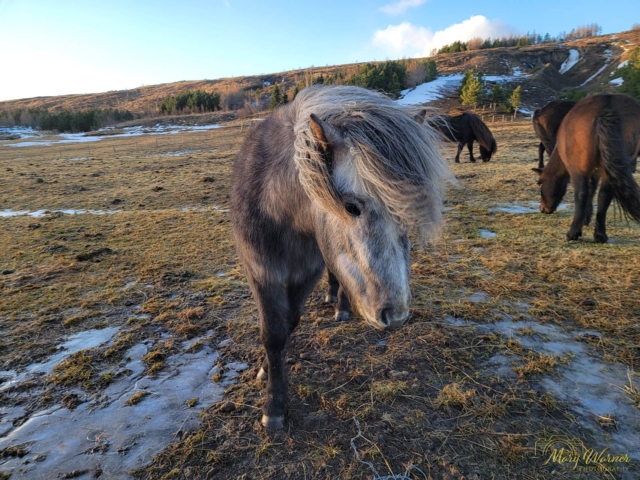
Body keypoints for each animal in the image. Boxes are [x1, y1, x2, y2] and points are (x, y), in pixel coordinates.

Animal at [230, 85, 450, 429]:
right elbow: (273, 332)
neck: (281, 212)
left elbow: (289, 322)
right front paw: (271, 396)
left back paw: (341, 306)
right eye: (351, 207)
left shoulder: (307, 272)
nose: (396, 315)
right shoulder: (261, 272)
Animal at [532, 94, 640, 243]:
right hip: (609, 170)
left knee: (581, 194)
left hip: (579, 170)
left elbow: (587, 193)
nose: (543, 209)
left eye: (540, 183)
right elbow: (594, 192)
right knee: (604, 195)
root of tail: (606, 108)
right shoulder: (597, 172)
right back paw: (600, 235)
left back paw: (573, 233)